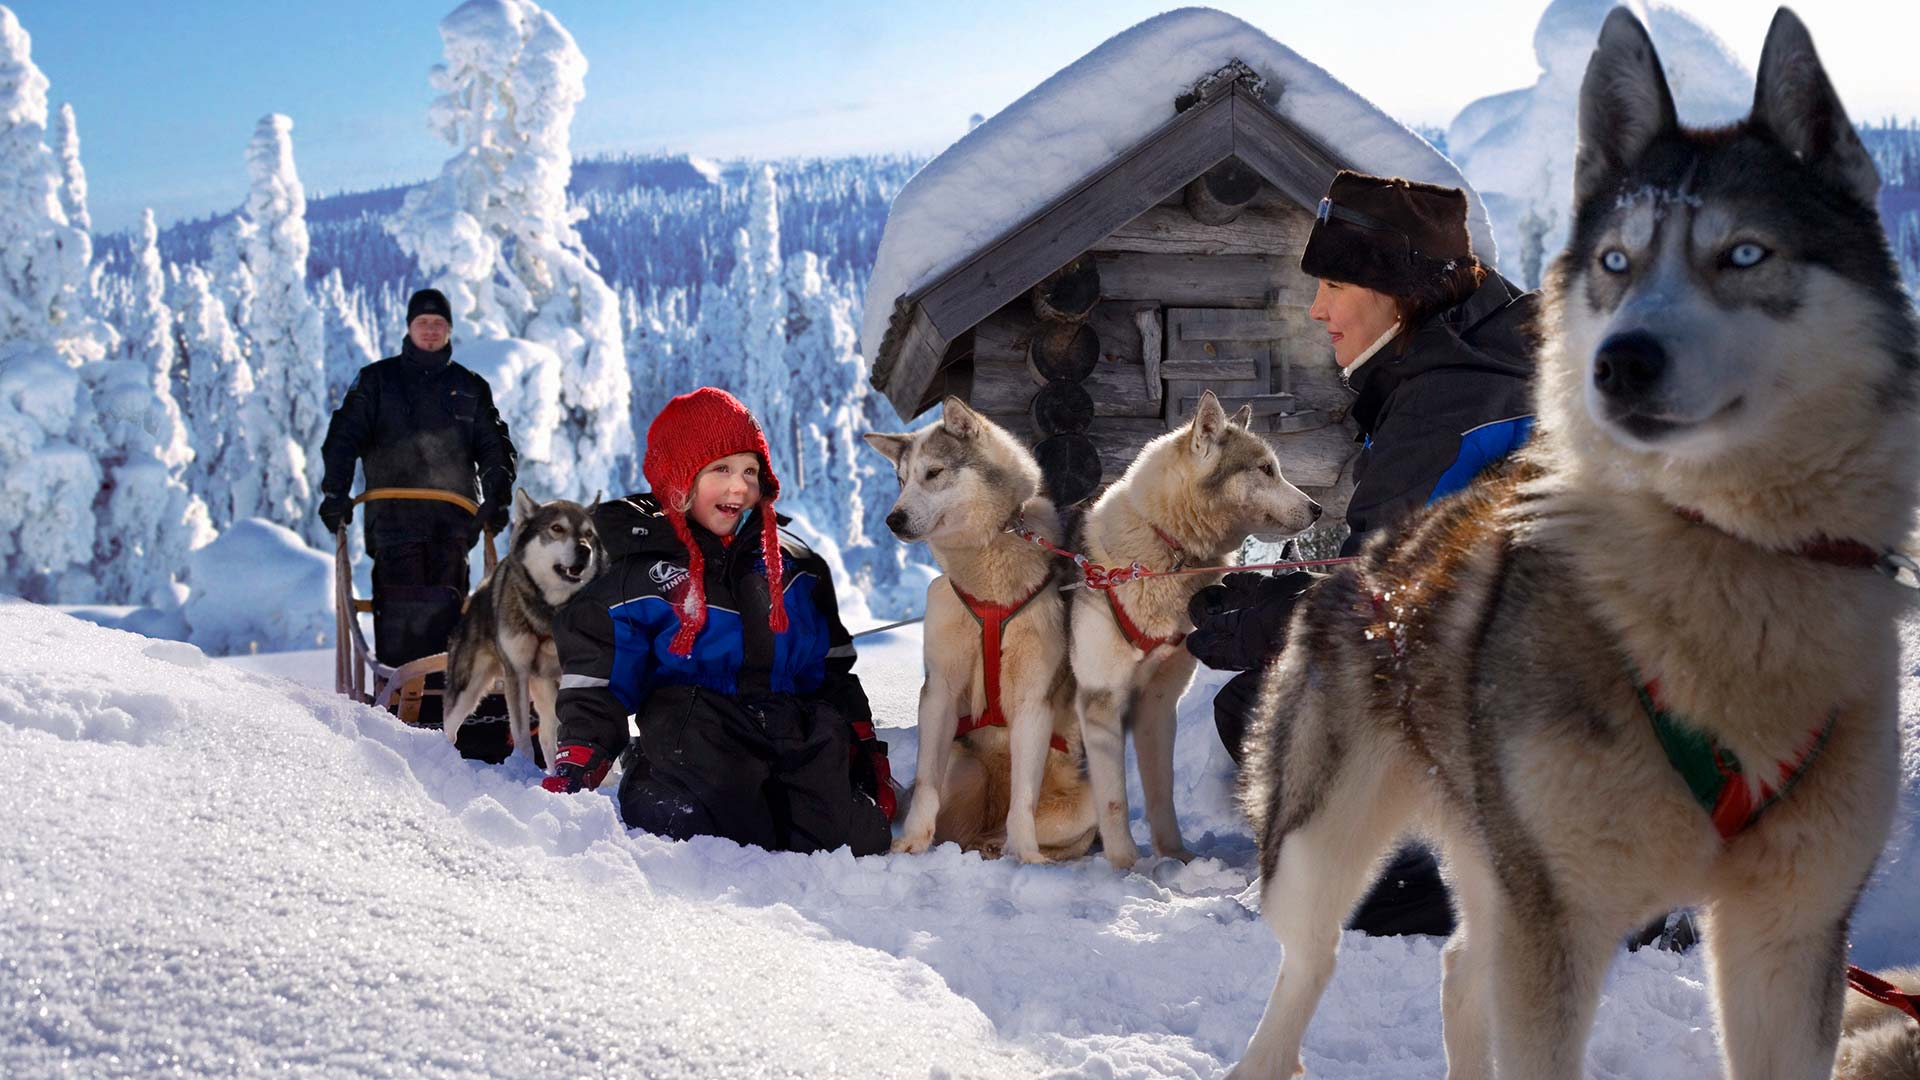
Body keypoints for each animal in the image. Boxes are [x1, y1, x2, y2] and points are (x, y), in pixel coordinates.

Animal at [445, 488, 602, 764]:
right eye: (557, 528)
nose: (584, 549)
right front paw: (523, 766)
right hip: (467, 688)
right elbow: (522, 738)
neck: (548, 613)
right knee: (450, 728)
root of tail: (483, 587)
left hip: (545, 688)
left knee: (549, 737)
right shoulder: (517, 672)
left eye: (589, 534)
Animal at [871, 395, 1098, 857]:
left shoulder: (1032, 702)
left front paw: (1027, 858)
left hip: (1087, 804)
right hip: (963, 766)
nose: (893, 519)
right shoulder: (938, 691)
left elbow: (1023, 803)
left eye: (933, 473)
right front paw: (911, 843)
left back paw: (1009, 849)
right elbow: (926, 786)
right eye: (901, 480)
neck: (988, 587)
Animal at [1067, 388, 1320, 864]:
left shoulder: (1158, 705)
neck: (1165, 549)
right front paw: (1127, 867)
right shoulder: (1101, 703)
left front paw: (1174, 858)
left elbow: (1160, 792)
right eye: (1265, 469)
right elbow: (1114, 801)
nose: (1318, 509)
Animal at [1228, 10, 1920, 1076]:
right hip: (1327, 844)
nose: (1620, 362)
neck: (1723, 565)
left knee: (1459, 964)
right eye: (1615, 262)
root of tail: (1366, 560)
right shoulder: (1559, 918)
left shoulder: (1788, 934)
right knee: (1307, 967)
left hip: (1493, 852)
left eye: (1744, 255)